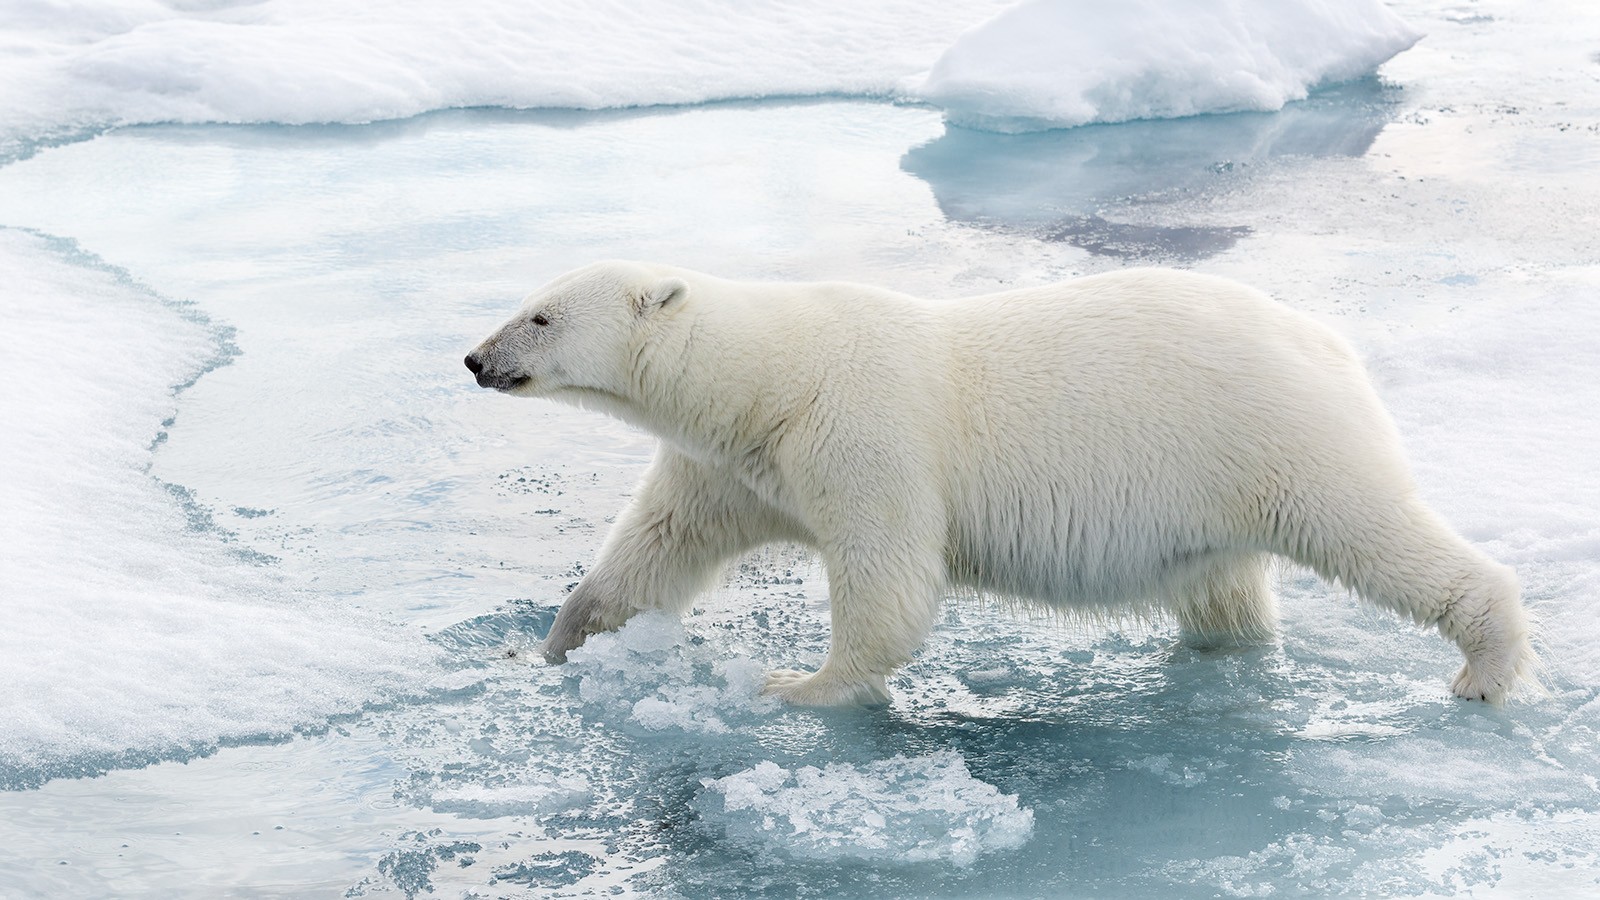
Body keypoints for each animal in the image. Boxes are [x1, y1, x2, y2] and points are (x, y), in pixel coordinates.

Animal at [460, 262, 1523, 704]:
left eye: (542, 317)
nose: (475, 358)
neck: (772, 378)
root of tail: (1330, 344)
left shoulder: (861, 432)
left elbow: (889, 579)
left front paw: (799, 684)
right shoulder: (735, 463)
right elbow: (653, 553)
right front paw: (545, 649)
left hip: (1271, 436)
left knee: (1371, 532)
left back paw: (1486, 665)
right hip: (1213, 501)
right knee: (1226, 593)